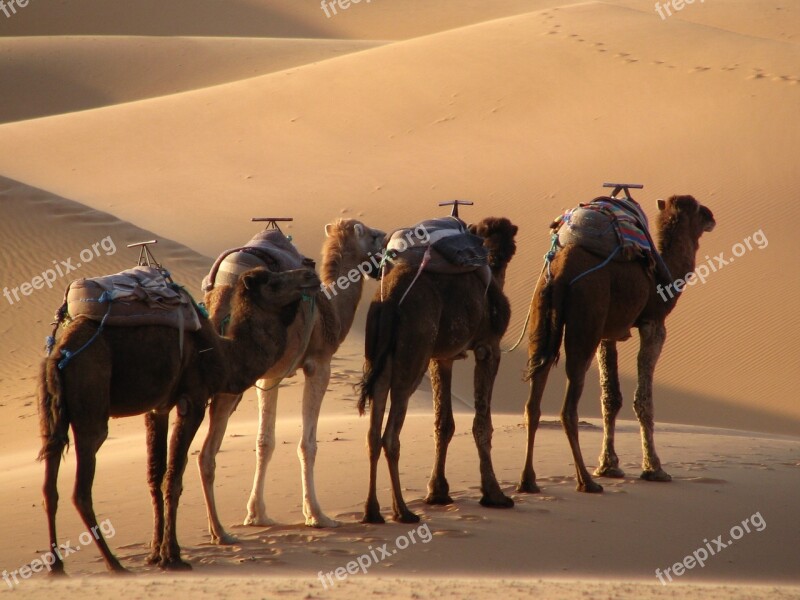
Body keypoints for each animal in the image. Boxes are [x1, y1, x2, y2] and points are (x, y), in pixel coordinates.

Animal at [36, 268, 318, 572]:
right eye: (272, 280)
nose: (309, 271)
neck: (223, 355)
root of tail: (59, 355)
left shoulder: (157, 410)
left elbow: (155, 476)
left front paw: (155, 553)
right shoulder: (192, 402)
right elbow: (174, 477)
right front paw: (173, 556)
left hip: (52, 417)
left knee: (49, 487)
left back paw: (57, 566)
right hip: (91, 406)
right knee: (81, 489)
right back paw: (114, 564)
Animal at [200, 220, 388, 544]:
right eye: (376, 237)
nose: (390, 248)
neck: (332, 307)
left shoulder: (270, 375)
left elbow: (265, 441)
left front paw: (257, 514)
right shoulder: (319, 364)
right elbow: (307, 444)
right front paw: (317, 515)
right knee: (206, 453)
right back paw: (218, 533)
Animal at [358, 217, 520, 524]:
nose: (498, 260)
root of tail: (390, 298)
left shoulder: (442, 358)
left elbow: (443, 423)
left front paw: (438, 492)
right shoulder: (488, 348)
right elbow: (482, 424)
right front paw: (494, 494)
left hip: (380, 357)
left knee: (373, 433)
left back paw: (373, 511)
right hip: (413, 356)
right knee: (391, 434)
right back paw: (403, 511)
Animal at [516, 195, 716, 494]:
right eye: (697, 208)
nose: (711, 216)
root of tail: (561, 272)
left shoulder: (607, 334)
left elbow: (610, 398)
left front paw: (609, 466)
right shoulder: (653, 323)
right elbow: (643, 399)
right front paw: (654, 469)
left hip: (541, 316)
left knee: (533, 400)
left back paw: (528, 481)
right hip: (585, 321)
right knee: (568, 405)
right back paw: (586, 482)